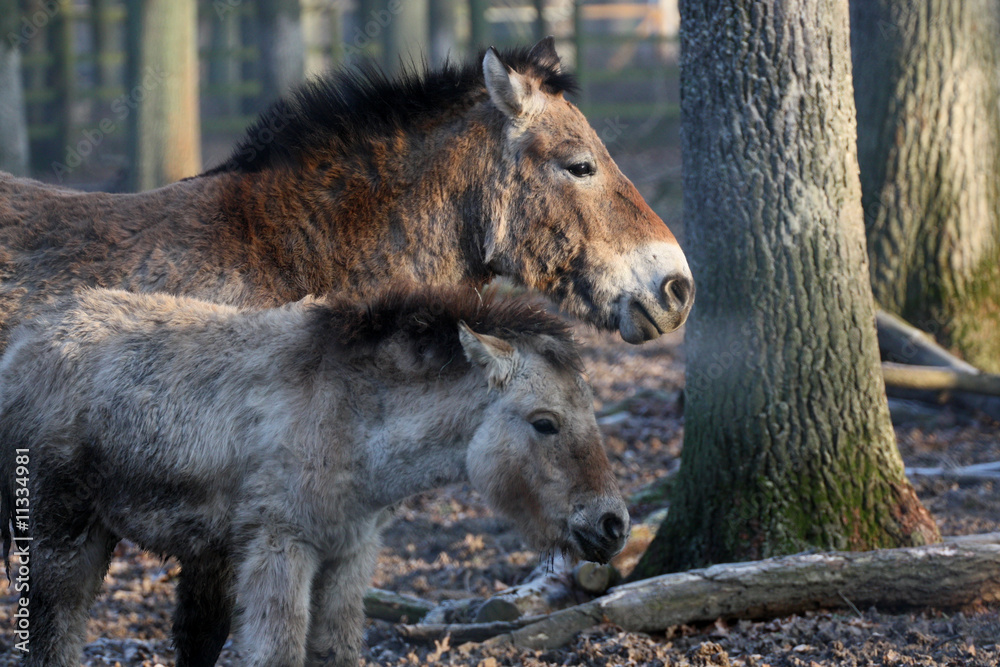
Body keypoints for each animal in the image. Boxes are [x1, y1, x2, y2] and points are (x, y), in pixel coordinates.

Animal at [0, 286, 628, 667]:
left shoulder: (348, 556)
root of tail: (21, 344)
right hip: (60, 538)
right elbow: (278, 652)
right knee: (53, 637)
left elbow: (337, 652)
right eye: (544, 422)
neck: (354, 427)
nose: (614, 524)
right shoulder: (282, 548)